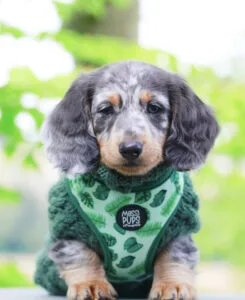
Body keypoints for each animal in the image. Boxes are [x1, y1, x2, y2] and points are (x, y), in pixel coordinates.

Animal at [34, 61, 218, 300]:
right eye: (105, 110)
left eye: (154, 108)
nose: (131, 149)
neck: (130, 189)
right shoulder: (70, 230)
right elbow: (82, 257)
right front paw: (91, 284)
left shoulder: (179, 230)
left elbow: (174, 257)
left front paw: (173, 286)